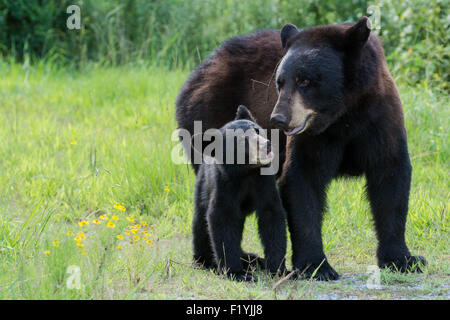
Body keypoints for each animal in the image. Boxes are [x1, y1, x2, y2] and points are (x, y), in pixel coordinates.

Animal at [192, 105, 284, 280]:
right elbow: (222, 220)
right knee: (200, 226)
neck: (245, 172)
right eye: (241, 141)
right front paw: (237, 273)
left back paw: (253, 259)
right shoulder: (224, 184)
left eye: (257, 130)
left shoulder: (264, 181)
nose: (267, 145)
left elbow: (271, 215)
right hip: (202, 190)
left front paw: (278, 269)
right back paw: (206, 261)